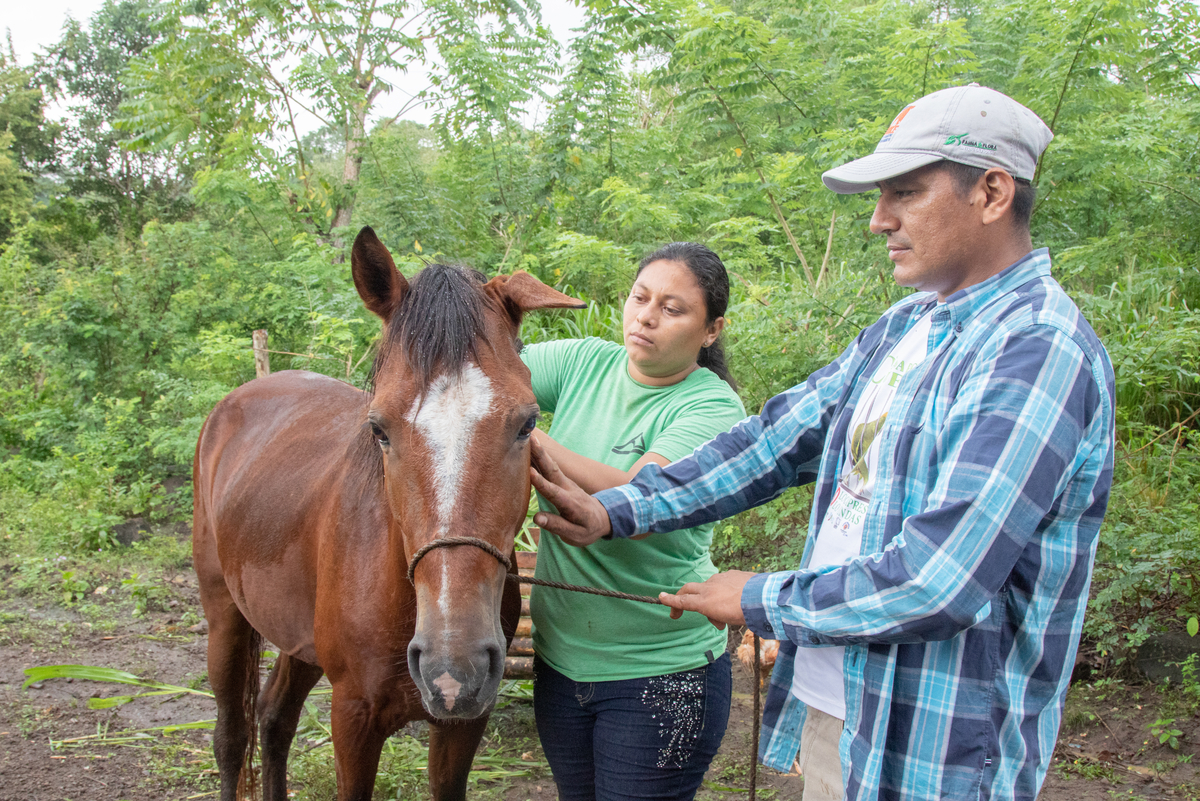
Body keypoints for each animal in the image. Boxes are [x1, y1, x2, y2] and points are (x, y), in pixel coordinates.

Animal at [192, 226, 584, 801]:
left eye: (528, 423)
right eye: (379, 428)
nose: (452, 667)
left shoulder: (463, 722)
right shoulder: (352, 717)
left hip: (298, 638)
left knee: (274, 717)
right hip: (224, 616)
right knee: (232, 735)